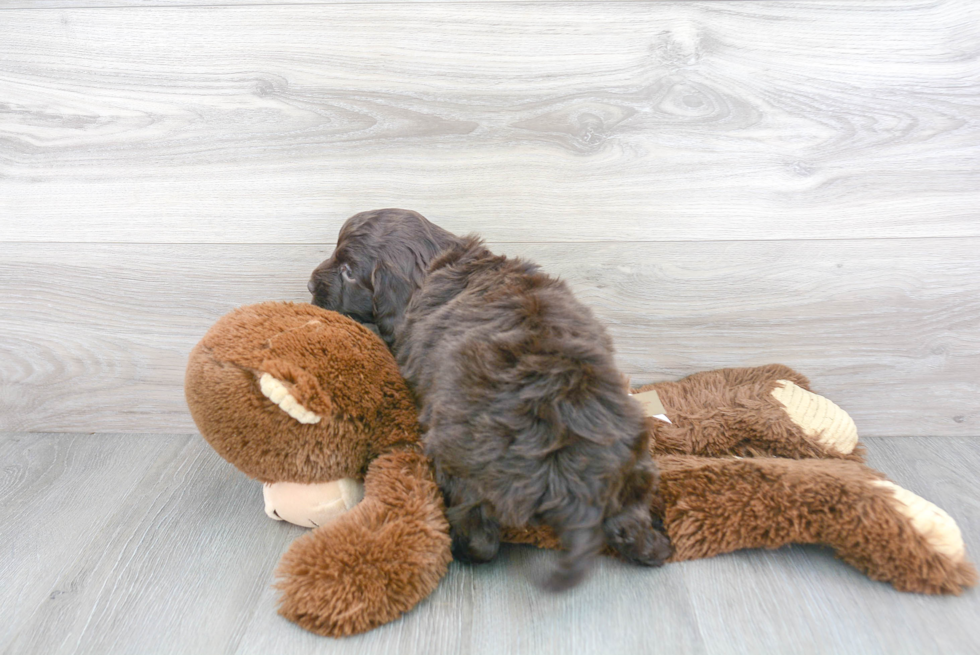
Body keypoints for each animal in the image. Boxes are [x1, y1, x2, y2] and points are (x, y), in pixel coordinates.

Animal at [310, 209, 668, 588]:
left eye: (348, 271)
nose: (309, 286)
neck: (435, 264)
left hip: (461, 461)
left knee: (480, 536)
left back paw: (458, 544)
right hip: (633, 455)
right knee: (630, 519)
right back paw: (654, 545)